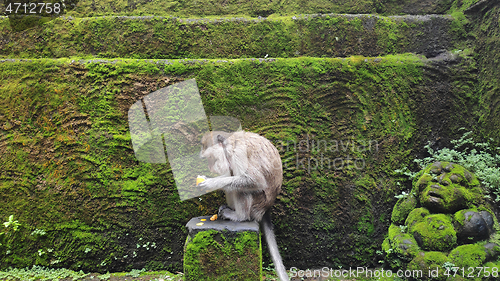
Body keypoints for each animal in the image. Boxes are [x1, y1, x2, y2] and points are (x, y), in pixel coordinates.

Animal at [197, 130, 288, 278]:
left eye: (210, 158)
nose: (210, 167)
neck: (229, 145)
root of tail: (266, 208)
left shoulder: (238, 154)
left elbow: (254, 180)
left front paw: (210, 183)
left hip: (257, 203)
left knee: (242, 189)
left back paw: (240, 216)